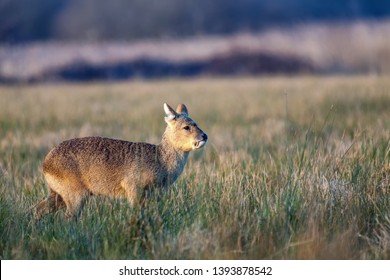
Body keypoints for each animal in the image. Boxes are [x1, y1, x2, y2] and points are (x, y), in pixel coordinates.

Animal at [34, 103, 207, 219]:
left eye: (196, 123)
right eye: (186, 127)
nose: (204, 136)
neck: (160, 160)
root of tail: (46, 163)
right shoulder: (133, 188)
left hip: (58, 194)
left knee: (37, 209)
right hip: (75, 195)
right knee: (68, 218)